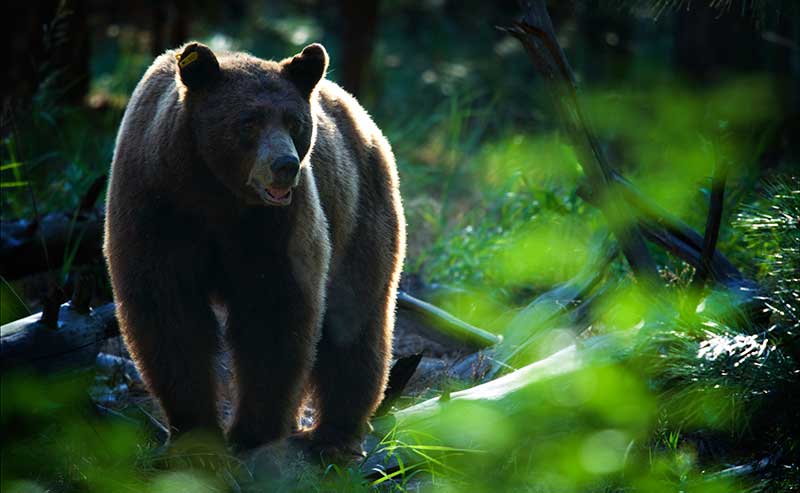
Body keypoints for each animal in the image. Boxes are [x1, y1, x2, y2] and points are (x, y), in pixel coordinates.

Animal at [103, 41, 406, 458]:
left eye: (294, 122)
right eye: (248, 122)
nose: (285, 165)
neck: (213, 192)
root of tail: (366, 121)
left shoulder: (274, 226)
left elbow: (272, 311)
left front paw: (252, 432)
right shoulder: (156, 208)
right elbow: (169, 313)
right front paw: (195, 434)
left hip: (359, 213)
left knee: (355, 320)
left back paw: (335, 436)